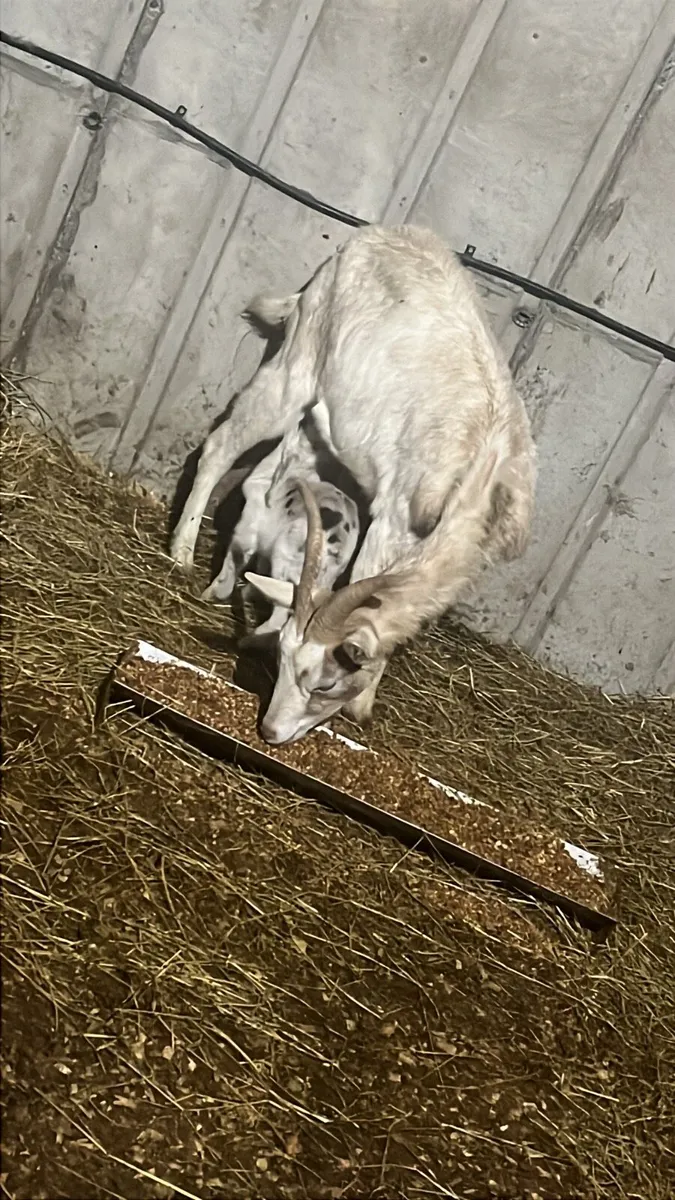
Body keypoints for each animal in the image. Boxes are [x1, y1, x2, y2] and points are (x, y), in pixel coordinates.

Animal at [201, 423, 360, 637]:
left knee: (280, 616)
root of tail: (337, 545)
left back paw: (252, 636)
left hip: (286, 561)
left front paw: (209, 594)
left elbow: (231, 564)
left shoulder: (246, 530)